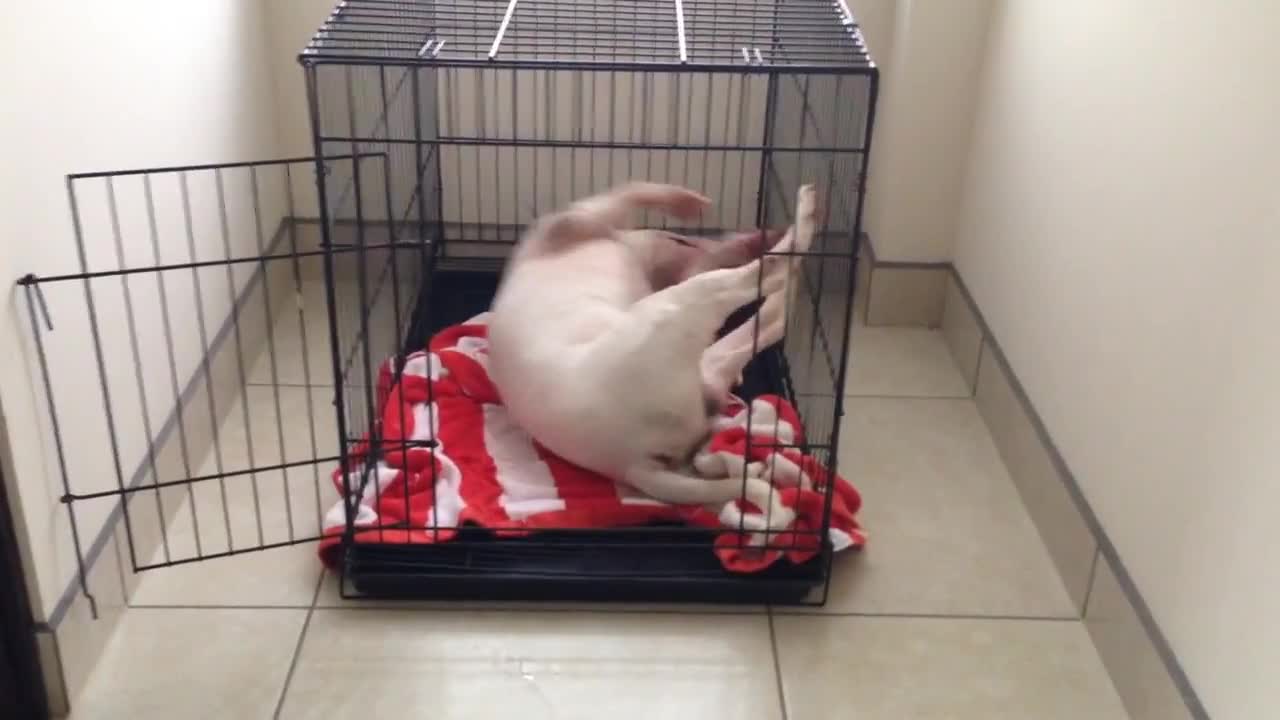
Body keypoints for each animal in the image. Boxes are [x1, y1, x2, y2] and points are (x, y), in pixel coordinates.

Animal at [483, 179, 814, 515]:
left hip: (702, 360)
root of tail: (631, 462)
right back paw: (800, 220)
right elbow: (632, 191)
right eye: (681, 239)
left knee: (771, 315)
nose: (758, 237)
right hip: (682, 308)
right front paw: (687, 203)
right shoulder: (577, 219)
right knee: (766, 278)